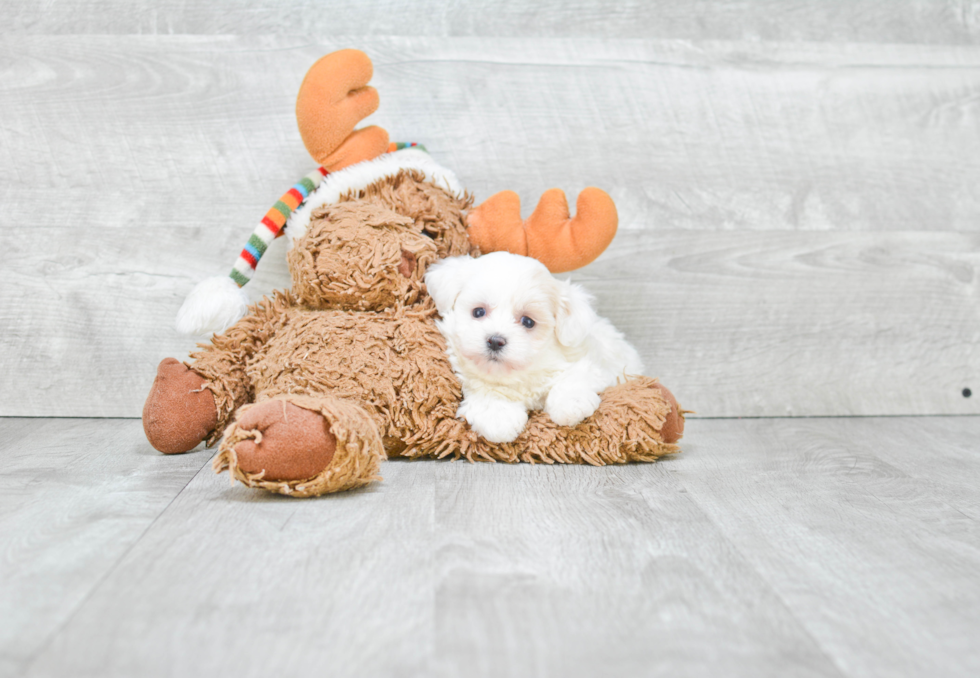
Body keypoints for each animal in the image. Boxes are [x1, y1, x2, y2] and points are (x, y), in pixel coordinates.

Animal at [424, 252, 644, 444]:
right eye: (478, 312)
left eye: (528, 322)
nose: (495, 340)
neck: (518, 374)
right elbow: (487, 393)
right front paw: (498, 418)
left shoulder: (589, 362)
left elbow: (575, 376)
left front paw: (570, 405)